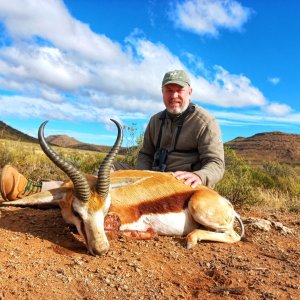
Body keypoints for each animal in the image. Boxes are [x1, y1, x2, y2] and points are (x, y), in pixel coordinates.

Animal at [1, 119, 244, 255]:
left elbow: (116, 228)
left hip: (199, 208)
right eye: (76, 212)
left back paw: (191, 240)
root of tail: (225, 202)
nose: (101, 250)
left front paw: (144, 233)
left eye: (105, 210)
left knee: (234, 236)